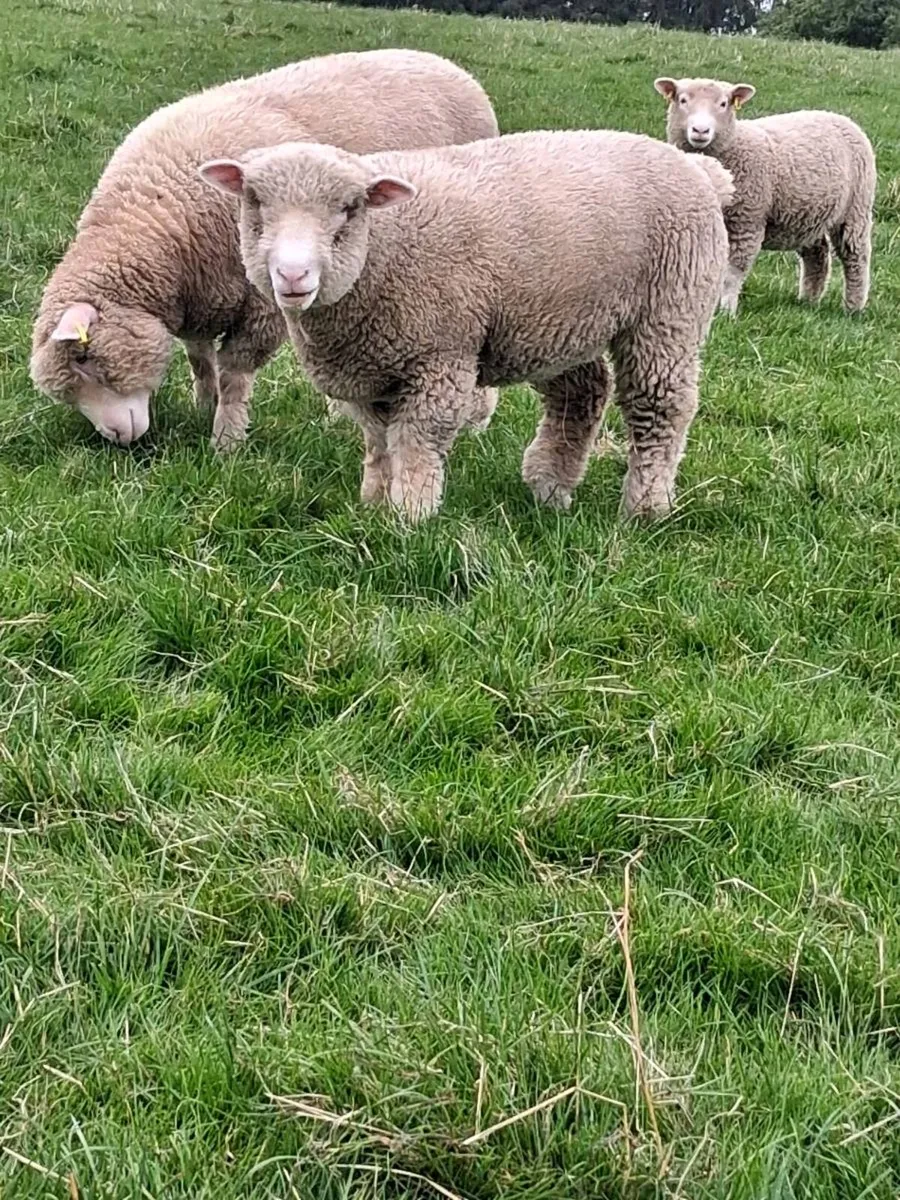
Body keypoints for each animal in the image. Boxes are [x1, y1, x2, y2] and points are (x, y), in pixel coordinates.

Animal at [29, 50, 499, 449]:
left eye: (84, 357)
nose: (116, 437)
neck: (162, 220)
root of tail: (452, 67)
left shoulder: (262, 306)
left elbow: (235, 375)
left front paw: (226, 441)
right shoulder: (197, 303)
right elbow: (201, 364)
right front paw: (204, 409)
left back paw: (476, 423)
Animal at [199, 131, 733, 521]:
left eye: (350, 208)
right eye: (253, 201)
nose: (293, 275)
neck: (382, 250)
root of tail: (698, 169)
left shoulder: (441, 355)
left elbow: (417, 439)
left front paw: (410, 515)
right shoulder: (372, 370)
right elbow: (379, 441)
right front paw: (373, 503)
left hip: (669, 310)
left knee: (661, 407)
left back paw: (644, 508)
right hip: (560, 323)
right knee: (582, 393)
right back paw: (550, 487)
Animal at [654, 77, 876, 315]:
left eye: (723, 104)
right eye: (682, 100)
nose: (701, 130)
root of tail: (840, 117)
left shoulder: (747, 221)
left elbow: (733, 273)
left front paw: (727, 311)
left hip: (856, 208)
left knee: (856, 257)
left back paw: (853, 307)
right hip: (808, 215)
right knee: (817, 254)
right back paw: (808, 301)